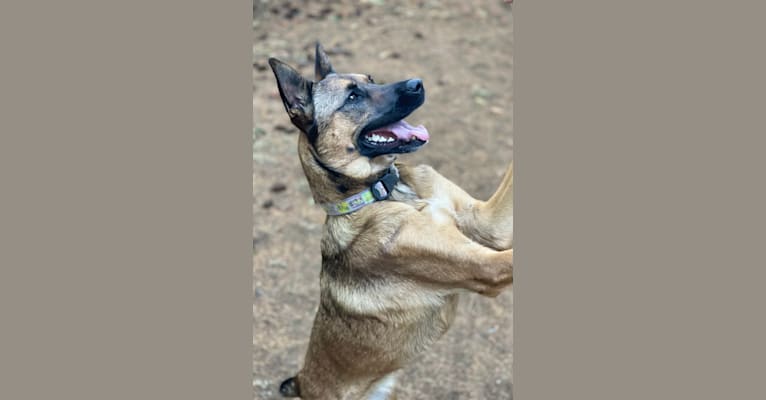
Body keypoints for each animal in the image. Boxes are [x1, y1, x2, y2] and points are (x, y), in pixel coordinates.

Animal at [270, 43, 516, 400]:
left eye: (371, 79)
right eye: (353, 97)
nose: (418, 83)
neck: (385, 192)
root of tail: (301, 381)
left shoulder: (488, 222)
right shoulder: (488, 268)